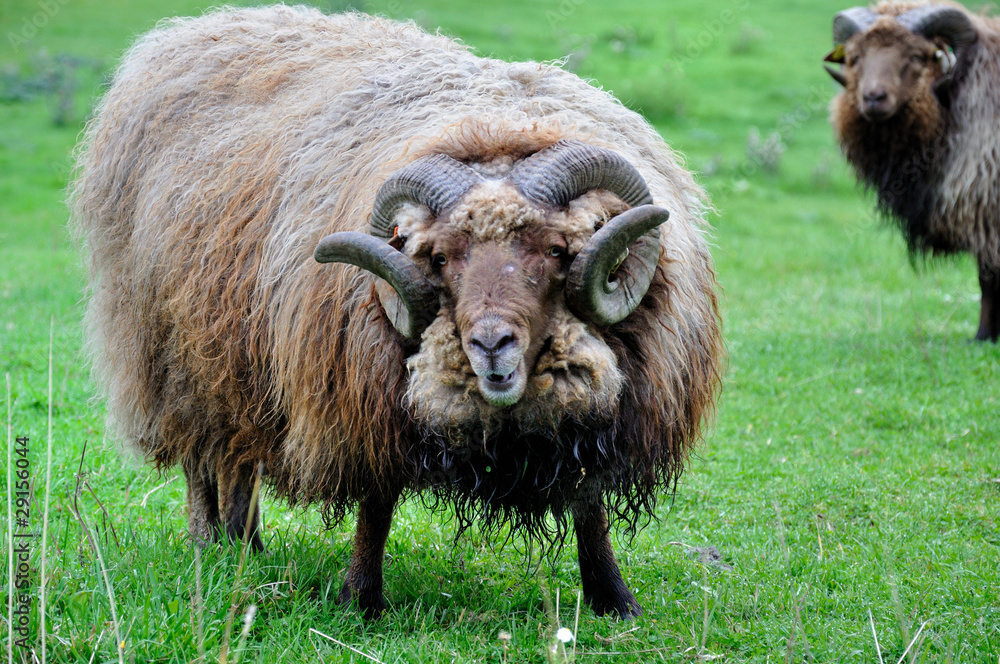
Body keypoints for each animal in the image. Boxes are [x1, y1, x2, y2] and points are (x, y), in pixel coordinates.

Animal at [70, 5, 723, 620]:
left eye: (558, 251)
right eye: (439, 257)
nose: (490, 346)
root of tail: (193, 28)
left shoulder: (606, 409)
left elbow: (589, 506)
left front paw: (613, 598)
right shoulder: (363, 388)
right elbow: (376, 502)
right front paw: (361, 599)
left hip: (236, 366)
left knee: (239, 461)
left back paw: (244, 546)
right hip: (177, 360)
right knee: (204, 459)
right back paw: (213, 544)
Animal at [825, 1, 1000, 341]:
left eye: (917, 56)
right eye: (855, 58)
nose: (873, 98)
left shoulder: (984, 204)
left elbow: (987, 277)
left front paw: (983, 336)